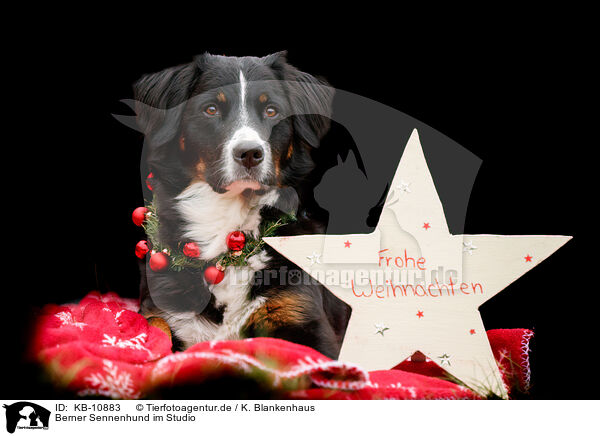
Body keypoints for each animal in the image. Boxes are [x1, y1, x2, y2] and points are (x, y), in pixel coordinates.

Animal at [132, 52, 352, 358]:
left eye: (271, 111)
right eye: (211, 109)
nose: (250, 153)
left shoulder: (305, 320)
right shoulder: (164, 307)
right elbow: (153, 326)